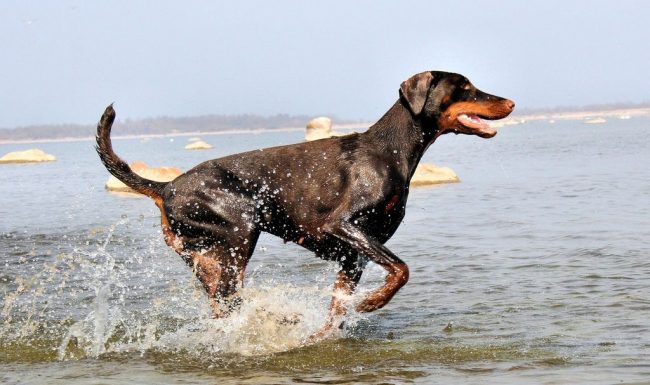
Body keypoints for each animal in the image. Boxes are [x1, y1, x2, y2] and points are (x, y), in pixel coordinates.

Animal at [95, 70, 512, 338]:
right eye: (466, 87)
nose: (510, 102)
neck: (391, 150)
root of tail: (166, 186)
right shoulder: (342, 227)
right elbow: (401, 270)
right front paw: (372, 304)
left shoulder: (352, 258)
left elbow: (337, 311)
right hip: (238, 234)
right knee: (227, 301)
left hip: (207, 253)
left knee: (217, 298)